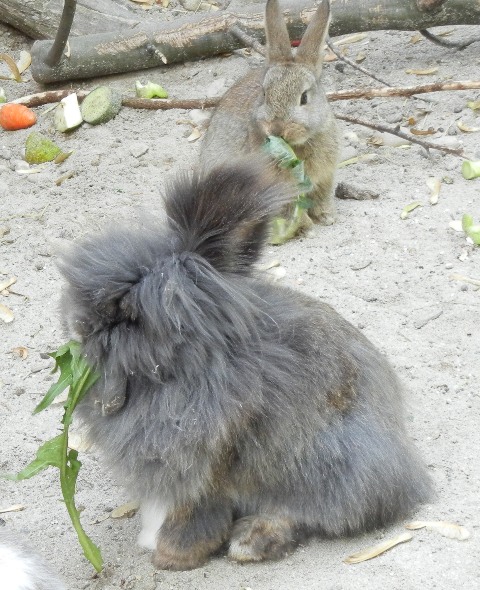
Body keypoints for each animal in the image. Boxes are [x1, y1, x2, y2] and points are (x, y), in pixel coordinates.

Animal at [59, 160, 432, 572]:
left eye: (129, 314)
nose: (78, 327)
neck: (190, 367)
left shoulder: (205, 464)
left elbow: (192, 511)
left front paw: (171, 557)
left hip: (334, 466)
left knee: (317, 512)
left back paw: (251, 542)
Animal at [201, 0, 340, 227]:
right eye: (265, 94)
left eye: (304, 98)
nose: (277, 128)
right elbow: (289, 208)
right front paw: (305, 227)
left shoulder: (325, 176)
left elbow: (321, 194)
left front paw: (326, 216)